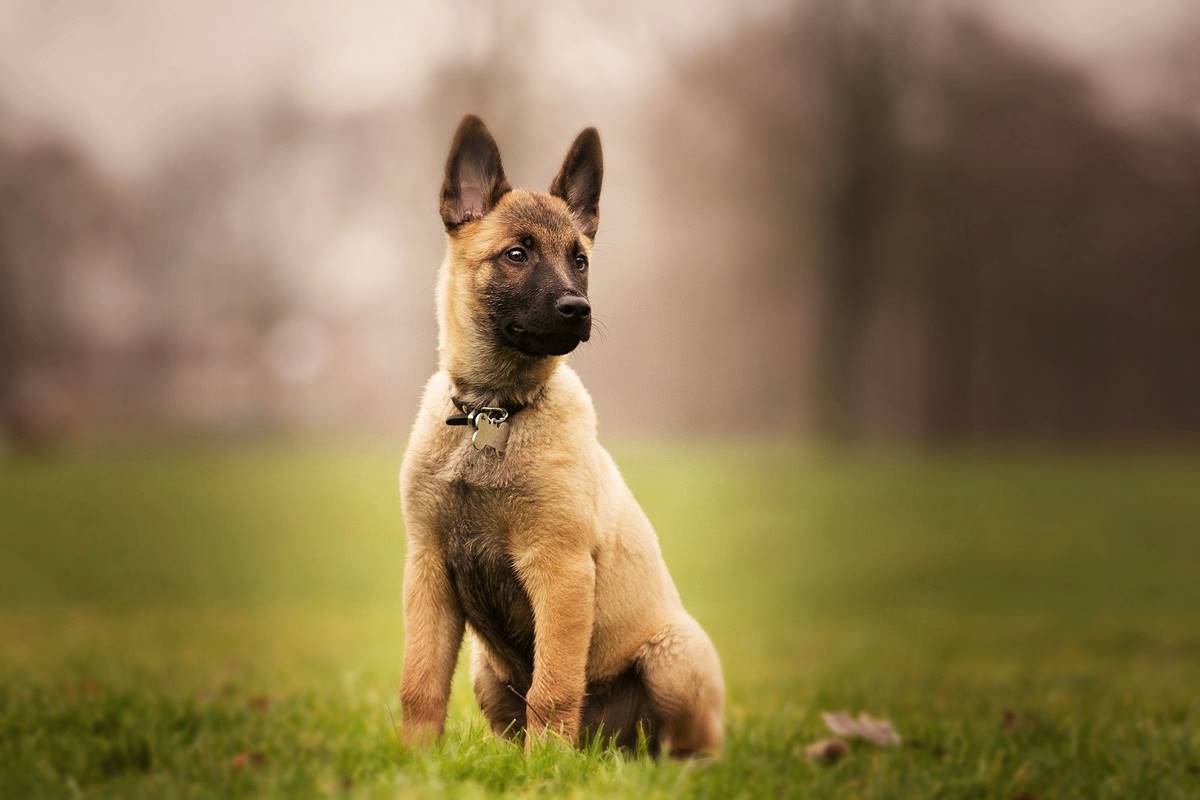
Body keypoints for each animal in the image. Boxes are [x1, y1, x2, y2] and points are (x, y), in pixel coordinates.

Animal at [400, 113, 720, 758]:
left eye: (581, 260)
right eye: (517, 254)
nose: (578, 308)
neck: (493, 414)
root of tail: (609, 743)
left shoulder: (560, 569)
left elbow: (552, 686)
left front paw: (545, 765)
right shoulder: (427, 567)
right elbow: (420, 682)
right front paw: (414, 759)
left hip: (674, 656)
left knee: (688, 745)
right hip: (486, 675)